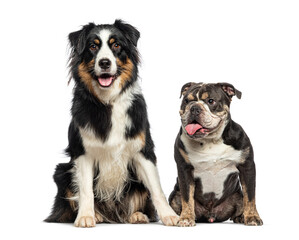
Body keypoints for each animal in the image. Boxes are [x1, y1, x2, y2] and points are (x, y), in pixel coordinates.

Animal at [45, 20, 178, 227]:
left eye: (116, 45)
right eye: (93, 47)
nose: (105, 62)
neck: (108, 102)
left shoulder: (143, 149)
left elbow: (156, 188)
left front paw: (170, 215)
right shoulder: (82, 152)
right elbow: (85, 190)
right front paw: (85, 216)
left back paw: (136, 215)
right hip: (62, 171)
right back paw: (98, 215)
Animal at [170, 82, 264, 227]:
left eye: (211, 101)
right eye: (186, 101)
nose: (194, 108)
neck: (210, 140)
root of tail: (210, 215)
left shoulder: (247, 166)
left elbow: (250, 196)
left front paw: (252, 217)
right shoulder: (184, 169)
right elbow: (187, 197)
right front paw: (186, 218)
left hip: (237, 196)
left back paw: (241, 217)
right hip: (174, 196)